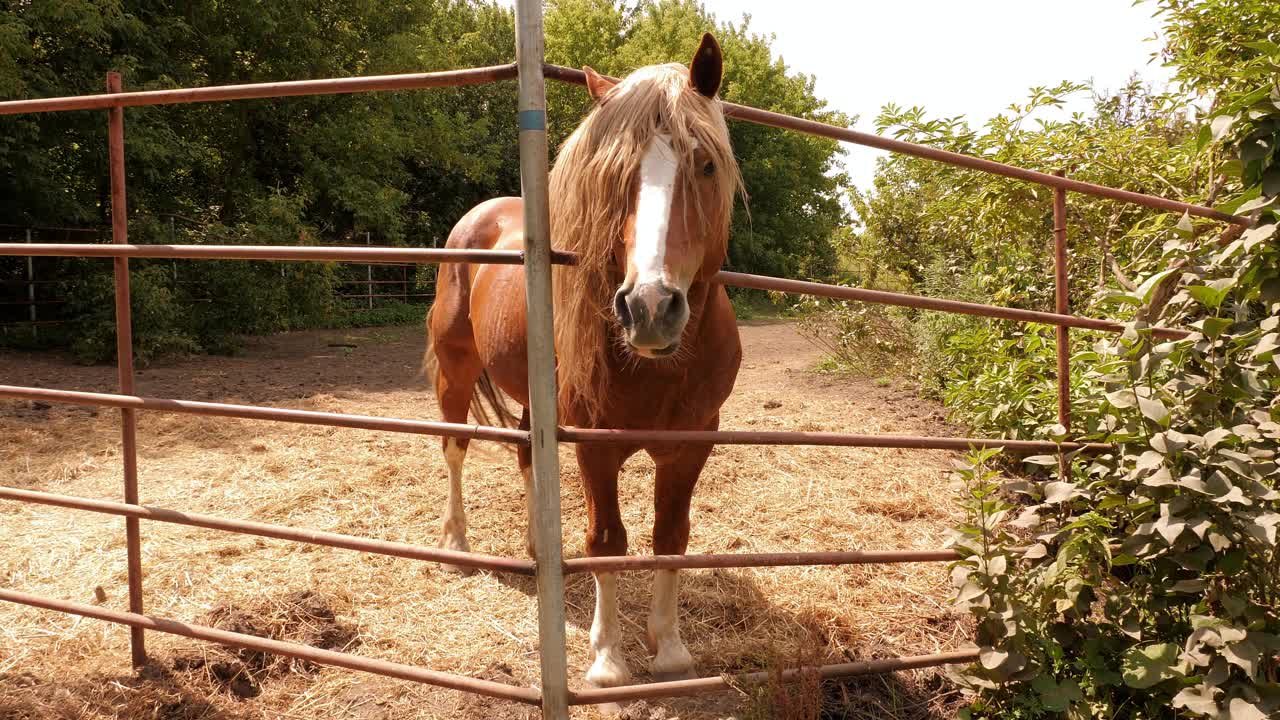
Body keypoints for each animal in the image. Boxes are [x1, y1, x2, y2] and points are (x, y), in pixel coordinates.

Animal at [424, 36, 742, 686]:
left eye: (705, 164)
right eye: (614, 175)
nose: (649, 307)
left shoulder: (694, 441)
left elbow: (671, 534)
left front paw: (670, 647)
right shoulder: (595, 445)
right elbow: (606, 540)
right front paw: (608, 659)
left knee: (526, 456)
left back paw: (534, 549)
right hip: (456, 371)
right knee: (455, 447)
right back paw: (458, 545)